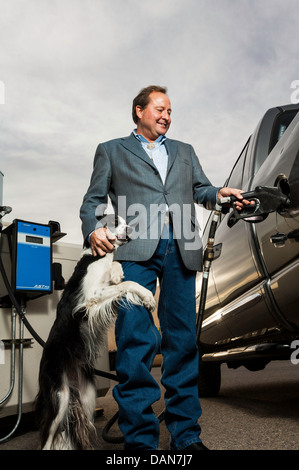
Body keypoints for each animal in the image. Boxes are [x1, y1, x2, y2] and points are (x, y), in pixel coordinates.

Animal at [36, 215, 156, 450]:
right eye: (115, 221)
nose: (132, 229)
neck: (99, 257)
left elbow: (118, 275)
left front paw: (117, 272)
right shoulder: (90, 299)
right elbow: (129, 283)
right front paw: (147, 296)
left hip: (87, 396)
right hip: (59, 398)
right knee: (47, 440)